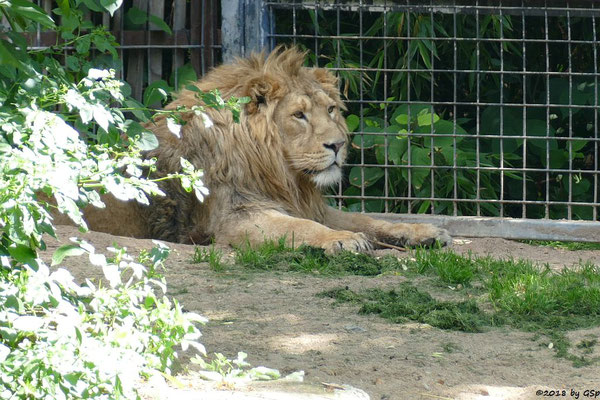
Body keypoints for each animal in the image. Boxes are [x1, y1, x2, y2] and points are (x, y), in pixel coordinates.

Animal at [83, 47, 450, 253]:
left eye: (331, 109)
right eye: (299, 115)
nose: (339, 145)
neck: (281, 173)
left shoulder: (308, 205)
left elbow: (370, 219)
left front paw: (424, 232)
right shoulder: (237, 219)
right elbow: (301, 228)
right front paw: (343, 240)